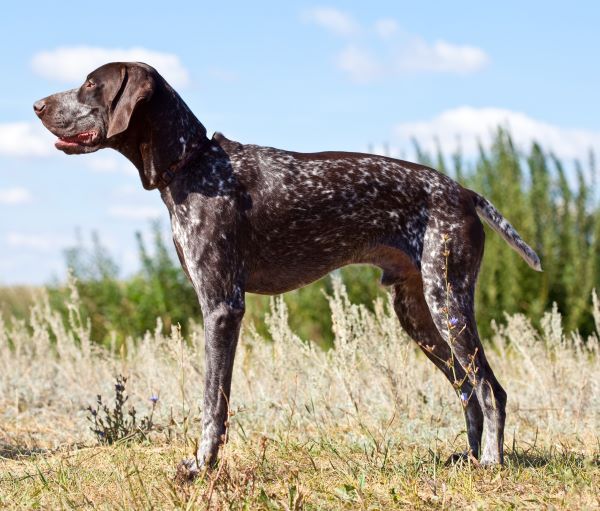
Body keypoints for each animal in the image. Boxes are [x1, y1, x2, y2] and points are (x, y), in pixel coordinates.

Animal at [32, 62, 540, 478]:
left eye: (91, 84)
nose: (36, 105)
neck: (192, 164)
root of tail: (463, 191)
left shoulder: (222, 306)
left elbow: (212, 402)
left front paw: (201, 467)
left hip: (447, 299)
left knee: (490, 389)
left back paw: (491, 464)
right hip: (417, 312)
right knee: (467, 389)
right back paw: (469, 458)